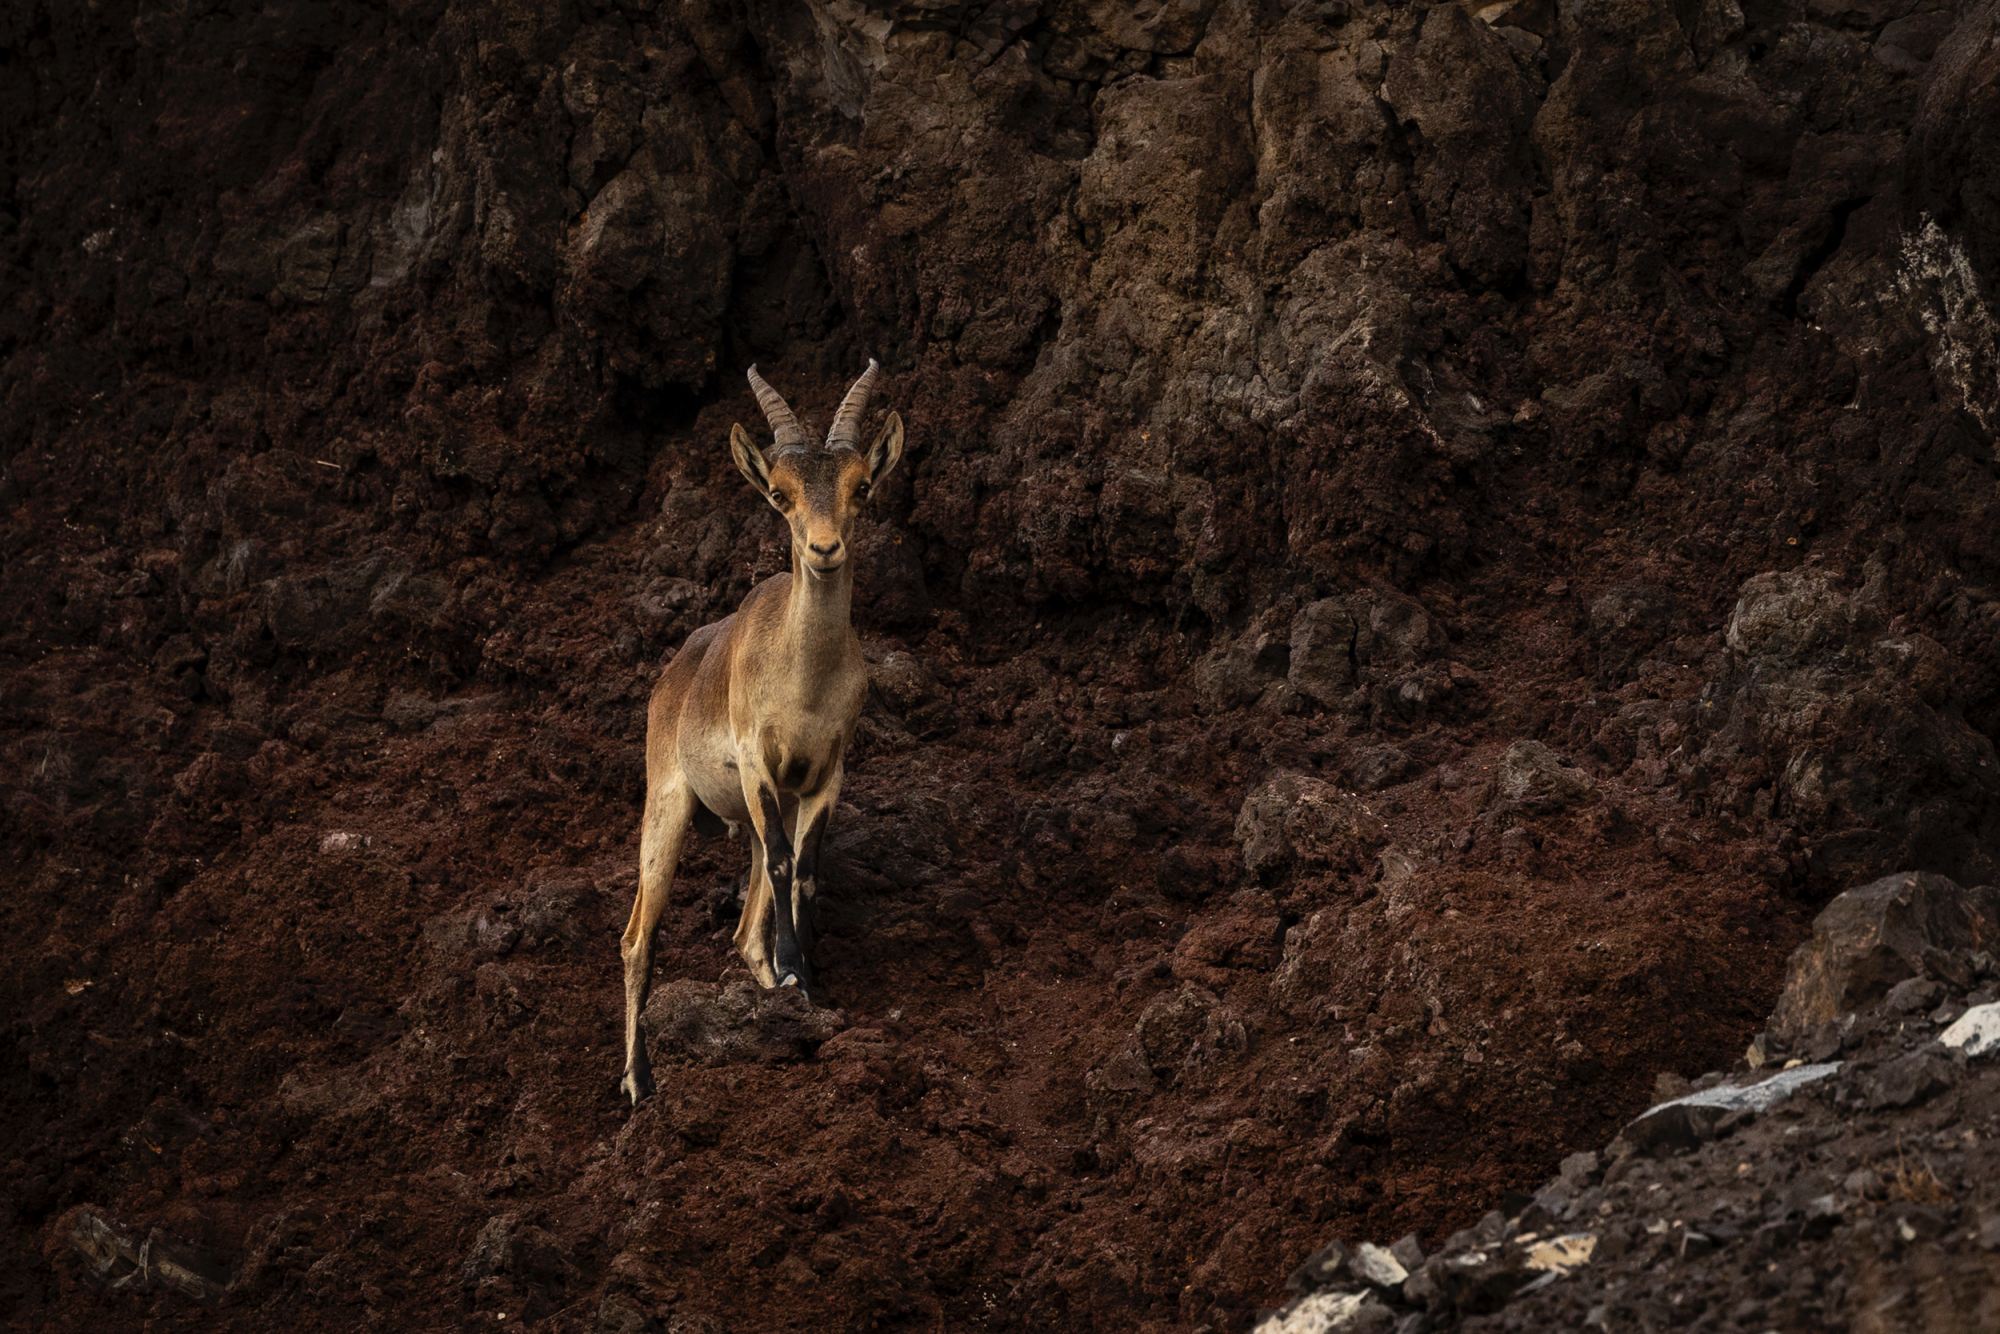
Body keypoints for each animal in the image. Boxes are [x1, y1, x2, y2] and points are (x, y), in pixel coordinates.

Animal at [619, 361, 906, 1105]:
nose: (825, 549)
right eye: (779, 495)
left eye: (861, 486)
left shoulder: (824, 774)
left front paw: (806, 982)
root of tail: (674, 675)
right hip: (667, 803)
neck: (803, 683)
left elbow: (803, 868)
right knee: (637, 937)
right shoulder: (757, 767)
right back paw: (639, 1082)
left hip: (743, 815)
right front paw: (798, 974)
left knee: (744, 932)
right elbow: (782, 861)